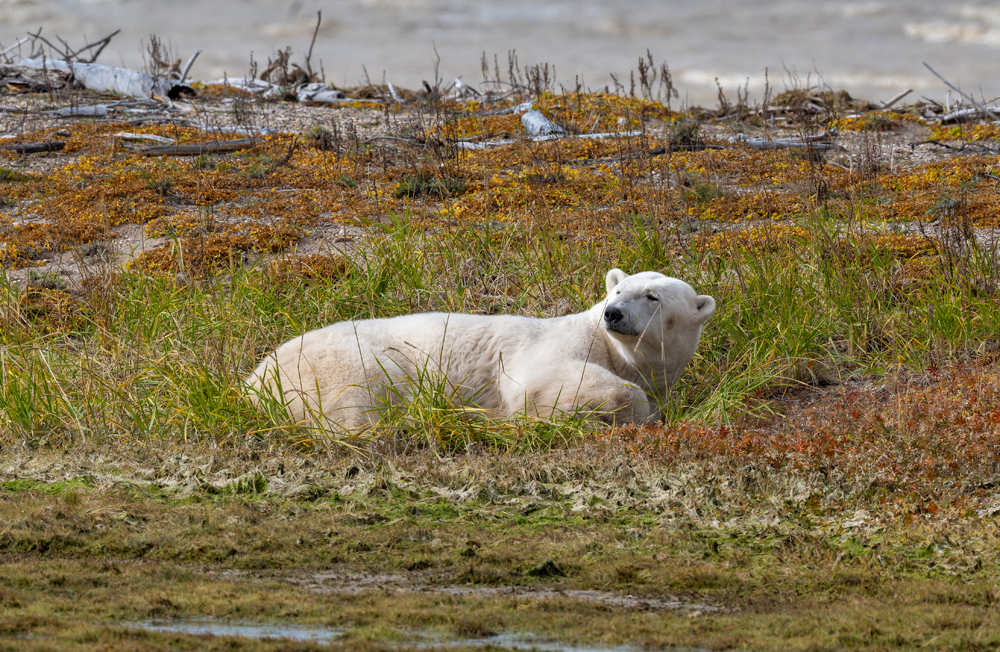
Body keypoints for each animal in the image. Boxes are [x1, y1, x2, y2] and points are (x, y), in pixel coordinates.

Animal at [246, 268, 715, 432]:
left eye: (652, 296)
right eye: (617, 290)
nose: (613, 313)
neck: (618, 353)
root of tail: (254, 380)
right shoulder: (560, 344)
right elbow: (539, 382)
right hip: (343, 363)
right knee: (359, 402)